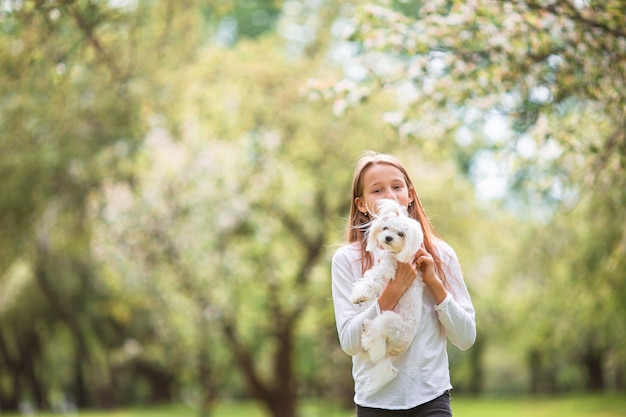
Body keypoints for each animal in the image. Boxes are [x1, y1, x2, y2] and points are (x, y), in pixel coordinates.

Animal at [352, 197, 424, 394]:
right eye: (385, 228)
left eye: (401, 233)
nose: (388, 238)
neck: (397, 255)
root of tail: (392, 353)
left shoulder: (388, 269)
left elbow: (373, 278)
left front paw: (361, 294)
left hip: (390, 320)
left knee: (376, 339)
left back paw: (368, 329)